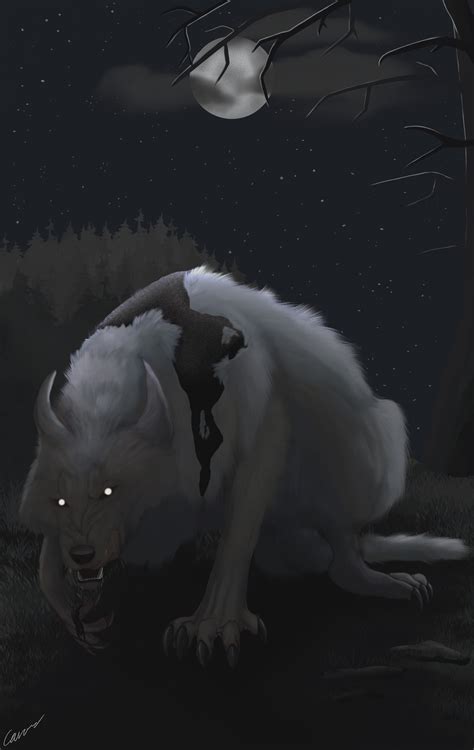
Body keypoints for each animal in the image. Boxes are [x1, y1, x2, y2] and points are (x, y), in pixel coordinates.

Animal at [19, 266, 469, 666]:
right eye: (60, 502)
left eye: (110, 491)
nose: (81, 554)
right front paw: (66, 603)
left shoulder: (259, 401)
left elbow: (242, 517)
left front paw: (213, 624)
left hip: (368, 450)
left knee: (341, 540)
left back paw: (372, 578)